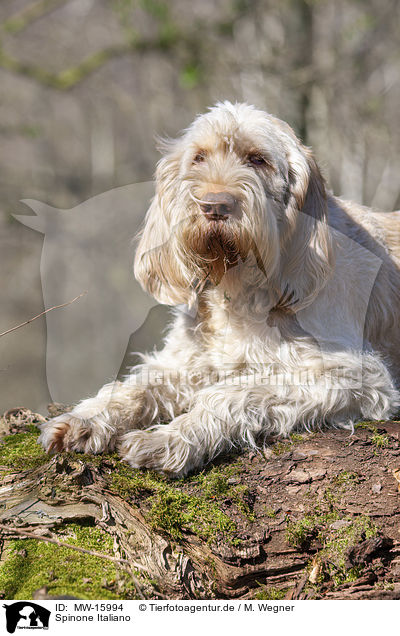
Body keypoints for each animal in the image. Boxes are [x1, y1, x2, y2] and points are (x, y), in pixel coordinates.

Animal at [39, 100, 400, 476]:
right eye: (199, 157)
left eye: (258, 159)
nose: (214, 206)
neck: (238, 288)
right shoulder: (187, 362)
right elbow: (139, 386)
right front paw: (87, 418)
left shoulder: (358, 375)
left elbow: (231, 393)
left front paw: (169, 439)